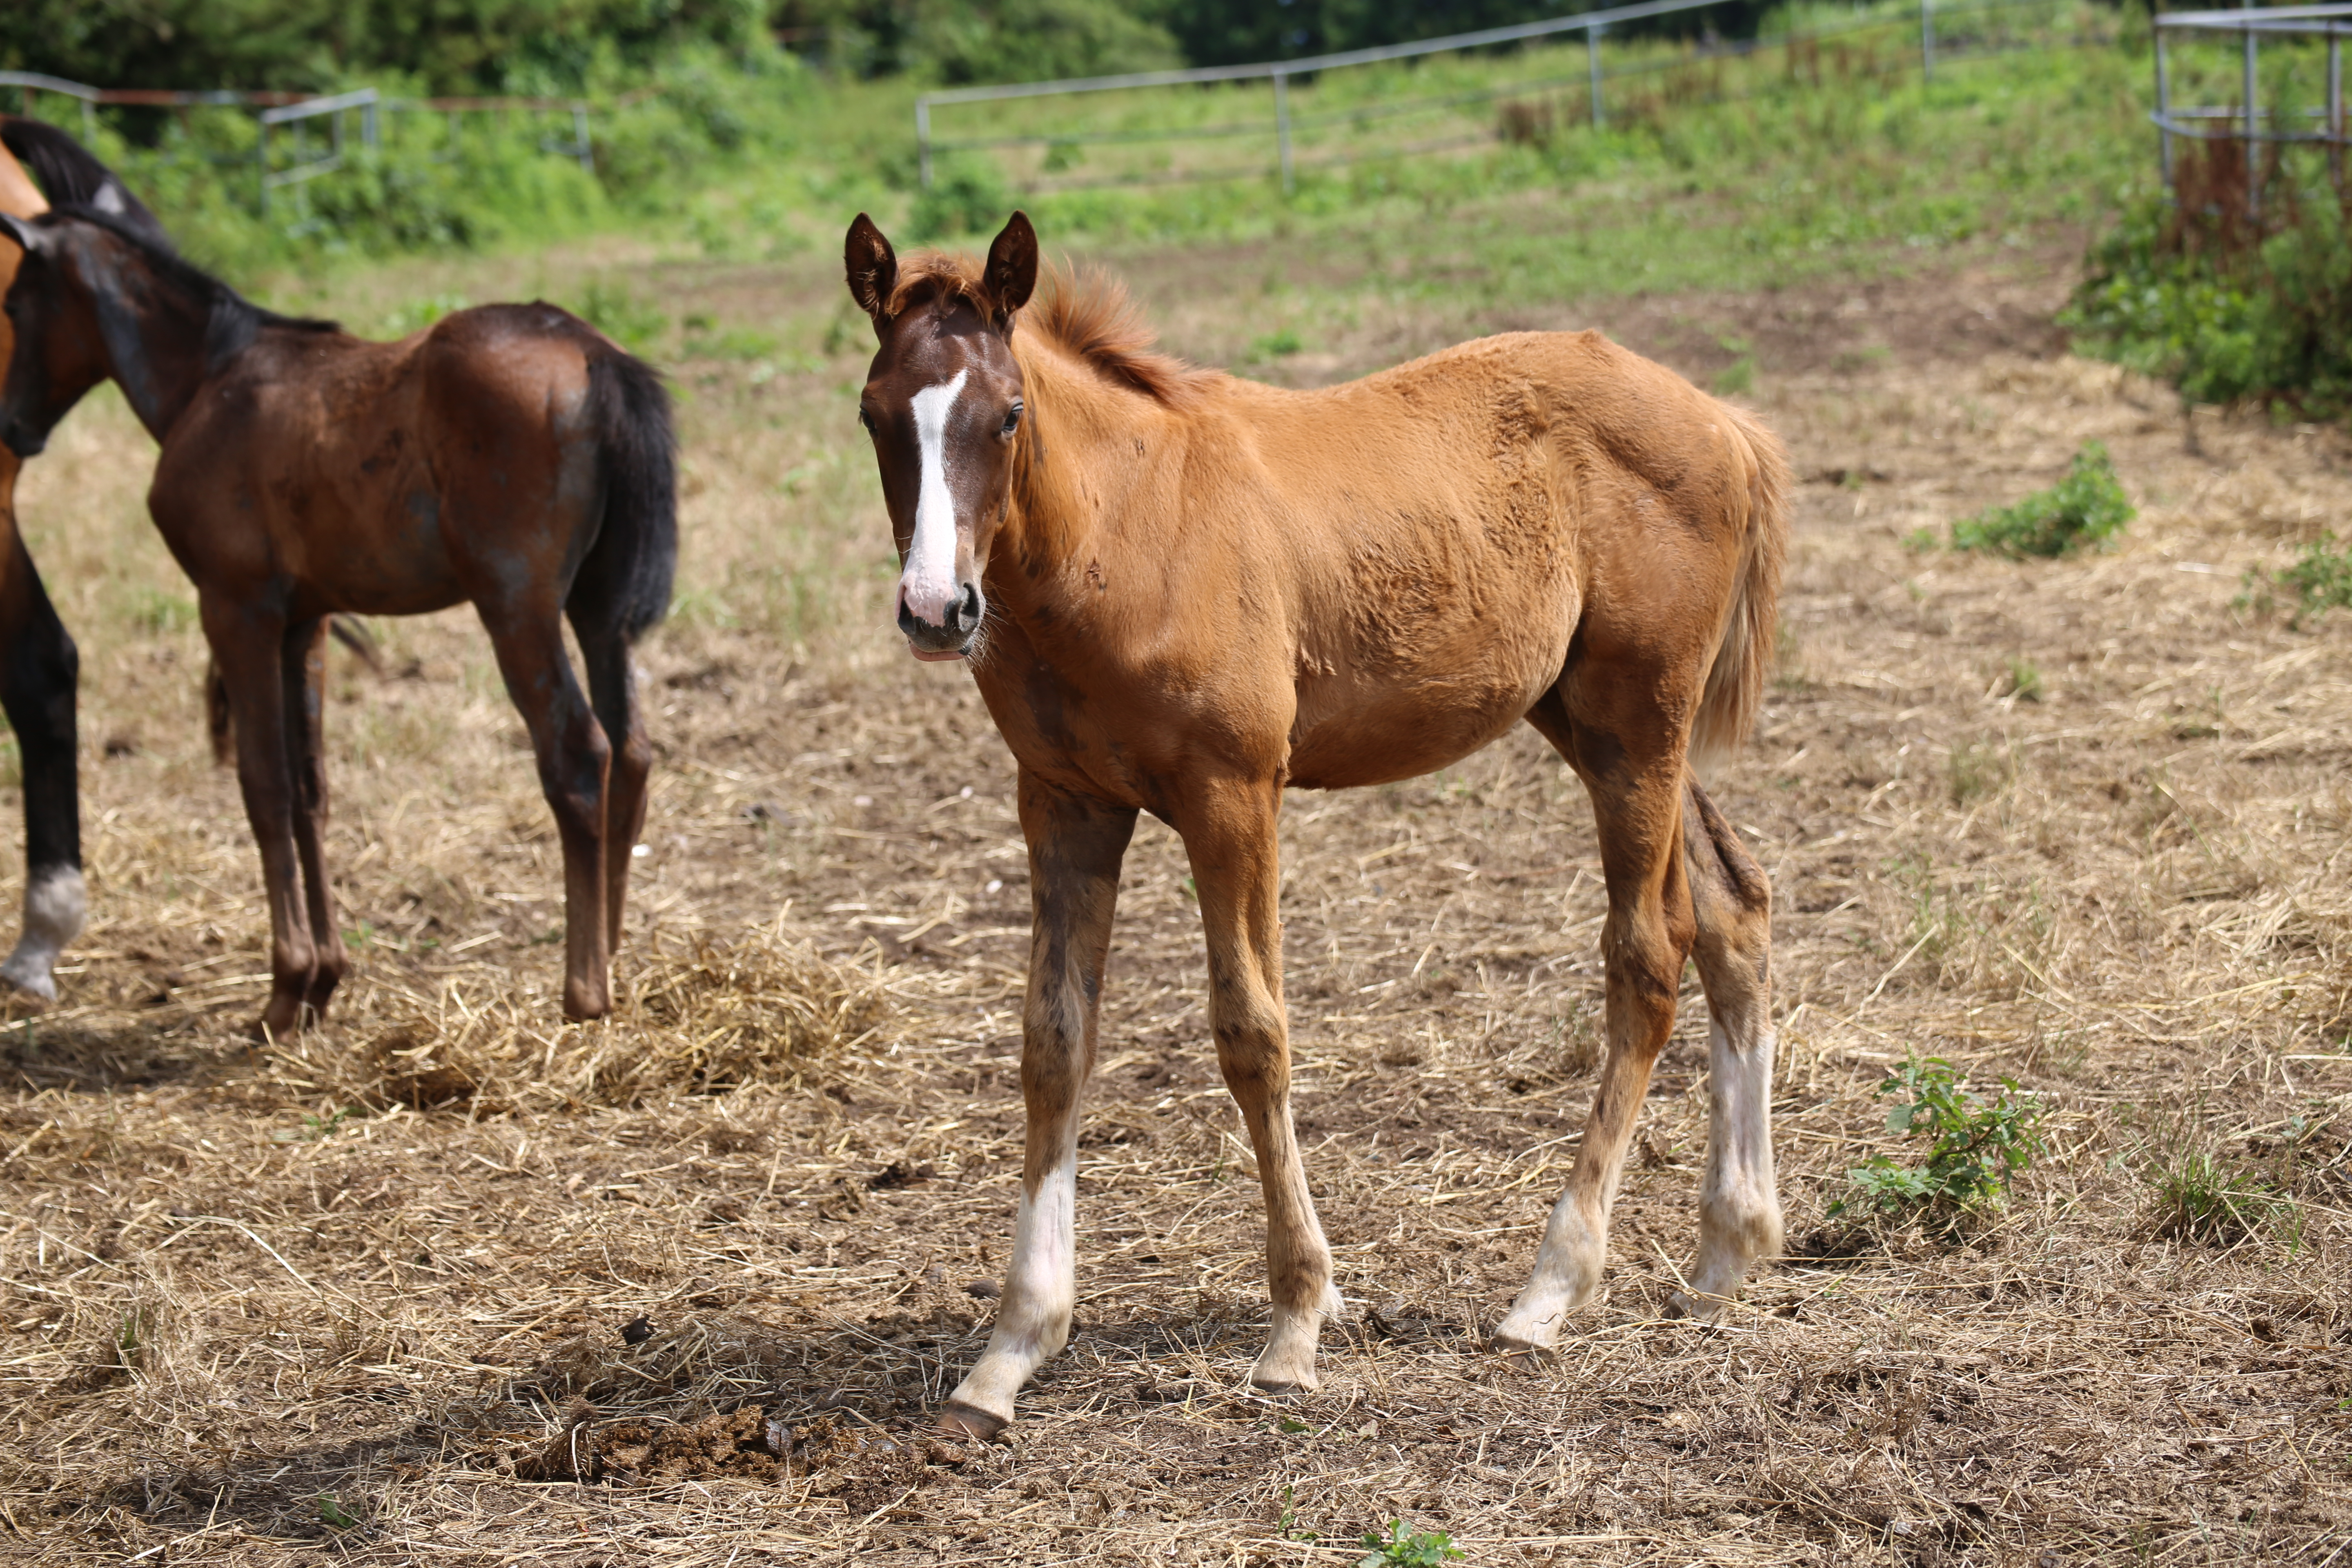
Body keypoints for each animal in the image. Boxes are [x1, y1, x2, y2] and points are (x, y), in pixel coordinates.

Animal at [0, 212, 673, 1044]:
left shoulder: (236, 609)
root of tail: (591, 351)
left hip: (517, 606)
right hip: (598, 611)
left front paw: (285, 988)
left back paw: (583, 995)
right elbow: (309, 790)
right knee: (633, 752)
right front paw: (321, 984)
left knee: (578, 755)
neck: (212, 378)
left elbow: (262, 786)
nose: (13, 426)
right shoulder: (305, 625)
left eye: (14, 307)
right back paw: (611, 959)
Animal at [856, 215, 1787, 1439]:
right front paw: (1012, 1347)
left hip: (1637, 723)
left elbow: (1253, 1033)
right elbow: (1054, 1043)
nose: (935, 608)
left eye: (1005, 414)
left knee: (1646, 954)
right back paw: (1727, 1251)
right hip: (1595, 722)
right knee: (1734, 906)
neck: (1123, 528)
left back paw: (1549, 1288)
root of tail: (1721, 419)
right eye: (875, 414)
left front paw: (1296, 1324)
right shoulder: (1063, 803)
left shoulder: (1233, 792)